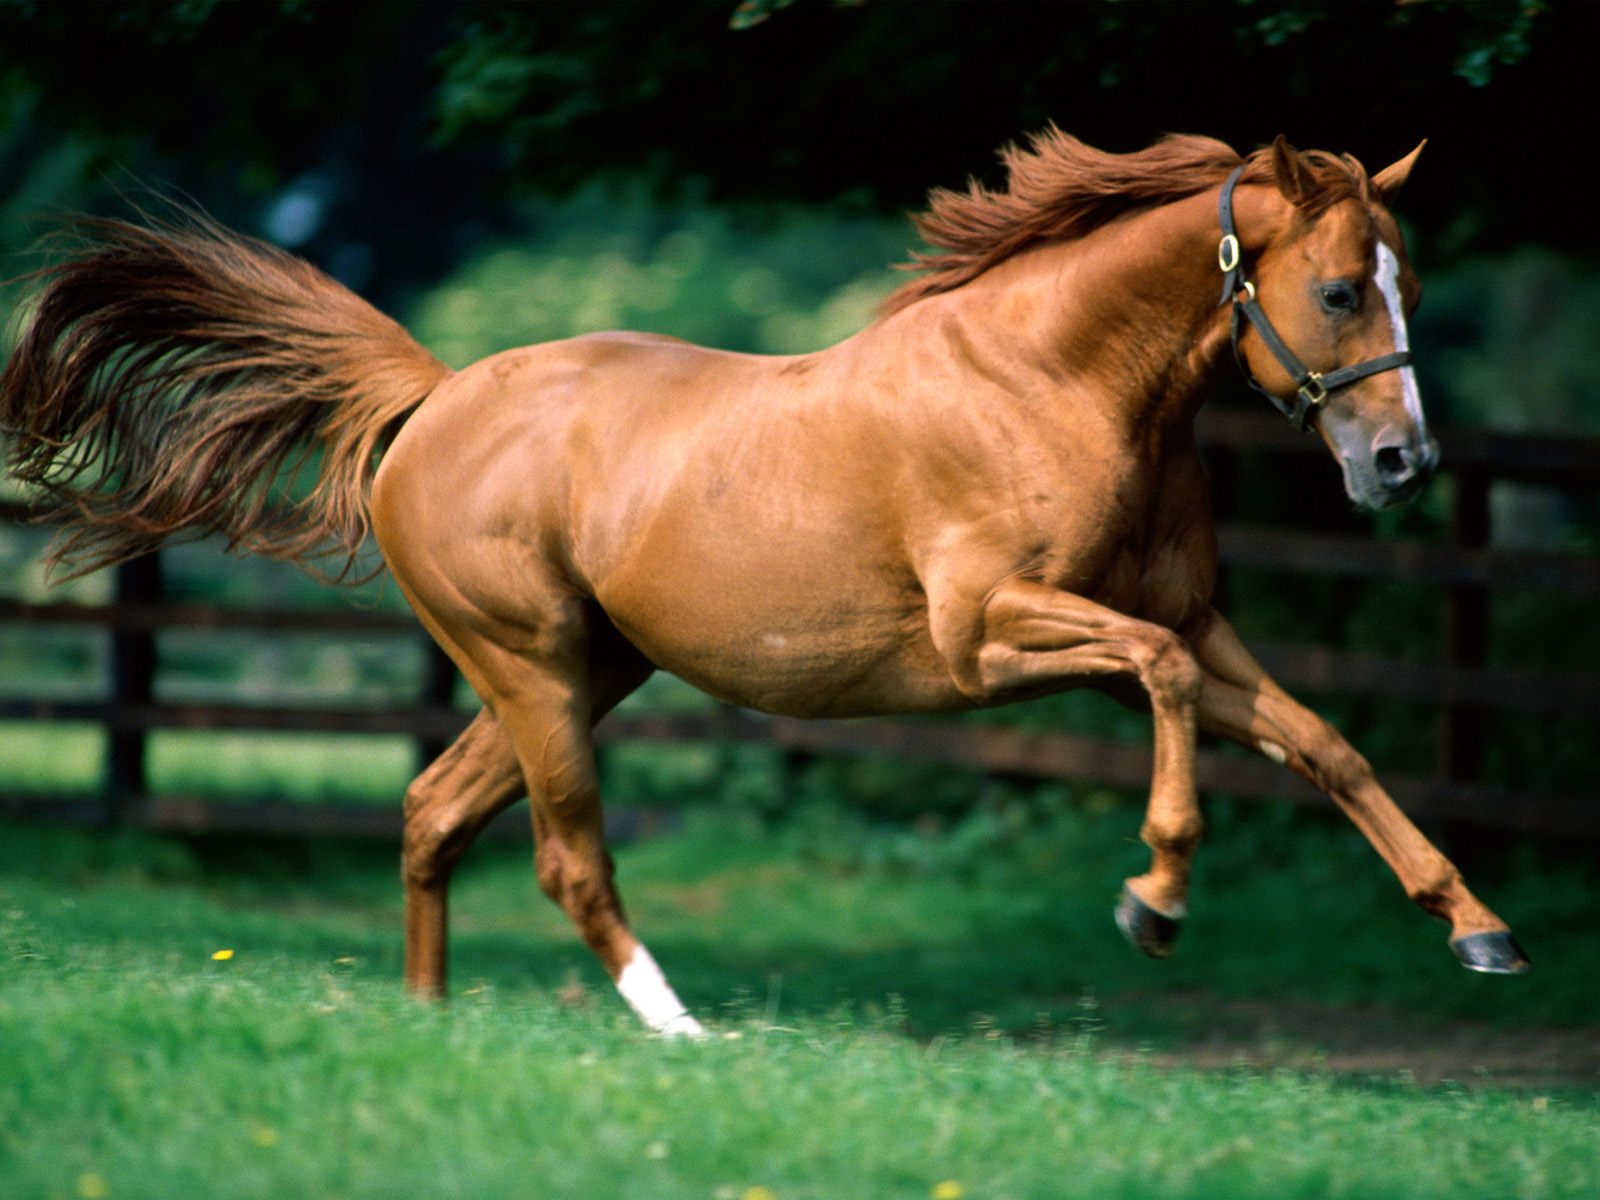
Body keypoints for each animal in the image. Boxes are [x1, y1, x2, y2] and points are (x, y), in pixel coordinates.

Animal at [0, 129, 1529, 1036]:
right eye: (1339, 290)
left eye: (1406, 279)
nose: (1402, 463)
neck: (1052, 383)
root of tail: (433, 398)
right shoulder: (994, 640)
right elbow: (1159, 693)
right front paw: (1152, 900)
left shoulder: (1193, 625)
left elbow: (1326, 745)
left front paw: (1480, 932)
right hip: (533, 669)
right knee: (565, 856)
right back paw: (678, 1028)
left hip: (586, 671)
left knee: (433, 811)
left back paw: (429, 1022)